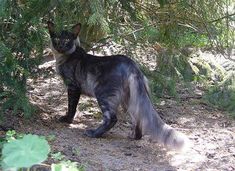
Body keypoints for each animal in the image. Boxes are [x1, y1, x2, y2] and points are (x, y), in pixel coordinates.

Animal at [47, 21, 187, 150]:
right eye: (57, 39)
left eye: (67, 40)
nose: (60, 46)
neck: (64, 57)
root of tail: (132, 65)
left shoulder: (72, 86)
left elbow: (72, 106)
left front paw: (67, 120)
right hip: (128, 99)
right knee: (137, 118)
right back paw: (134, 136)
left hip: (103, 94)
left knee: (112, 118)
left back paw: (94, 133)